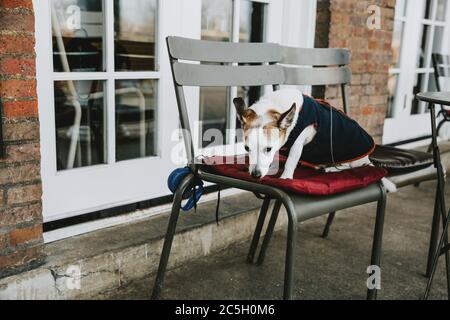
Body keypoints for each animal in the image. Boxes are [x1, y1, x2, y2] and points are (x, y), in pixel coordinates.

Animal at [234, 87, 396, 192]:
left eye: (268, 149)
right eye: (246, 148)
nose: (255, 175)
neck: (275, 106)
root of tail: (367, 158)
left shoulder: (298, 143)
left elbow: (291, 161)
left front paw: (286, 177)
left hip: (349, 157)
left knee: (352, 167)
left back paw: (330, 168)